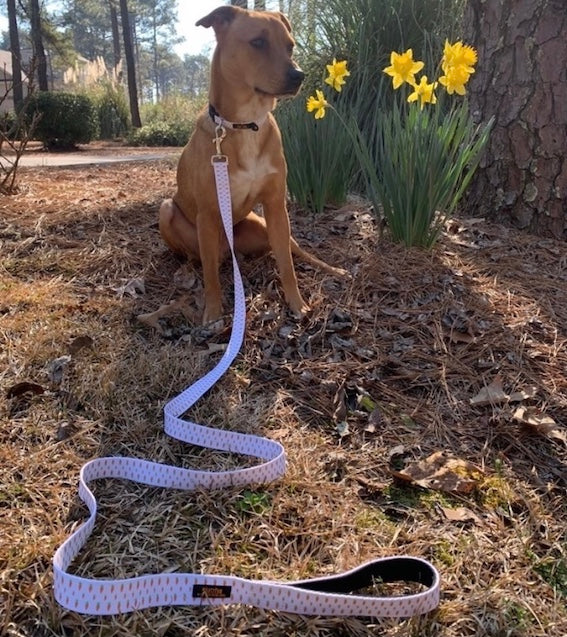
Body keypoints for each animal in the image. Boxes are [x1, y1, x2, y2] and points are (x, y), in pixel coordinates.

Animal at [158, 4, 348, 322]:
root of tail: (230, 248)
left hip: (263, 226)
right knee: (202, 259)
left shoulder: (275, 207)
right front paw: (212, 311)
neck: (245, 124)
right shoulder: (208, 215)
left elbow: (287, 265)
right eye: (258, 42)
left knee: (295, 250)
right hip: (168, 211)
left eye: (290, 46)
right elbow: (210, 276)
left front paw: (296, 303)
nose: (299, 74)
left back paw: (333, 269)